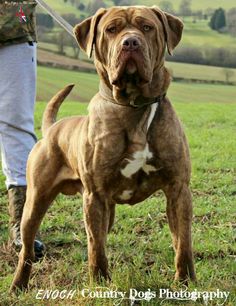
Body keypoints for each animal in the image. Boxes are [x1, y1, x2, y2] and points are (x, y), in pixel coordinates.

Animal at [10, 5, 195, 290]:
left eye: (147, 27)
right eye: (111, 29)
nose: (130, 42)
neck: (134, 105)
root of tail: (52, 129)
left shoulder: (178, 189)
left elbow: (183, 242)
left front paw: (186, 283)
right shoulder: (94, 196)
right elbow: (96, 247)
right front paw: (99, 284)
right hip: (35, 202)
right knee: (28, 248)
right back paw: (18, 284)